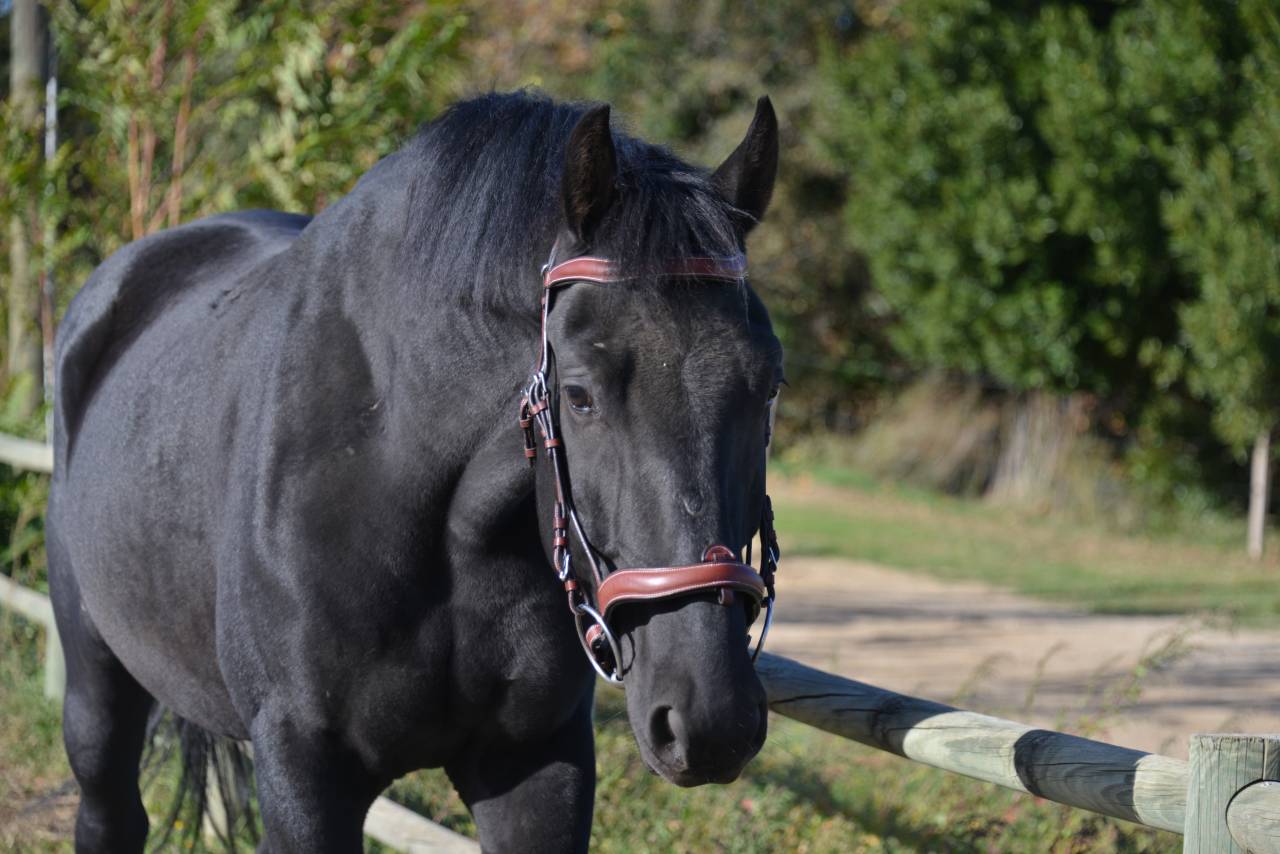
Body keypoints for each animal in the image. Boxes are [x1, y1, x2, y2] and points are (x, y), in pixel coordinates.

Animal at [48, 90, 782, 853]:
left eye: (769, 386)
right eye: (580, 395)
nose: (711, 721)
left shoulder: (537, 763)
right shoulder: (303, 772)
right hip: (97, 681)